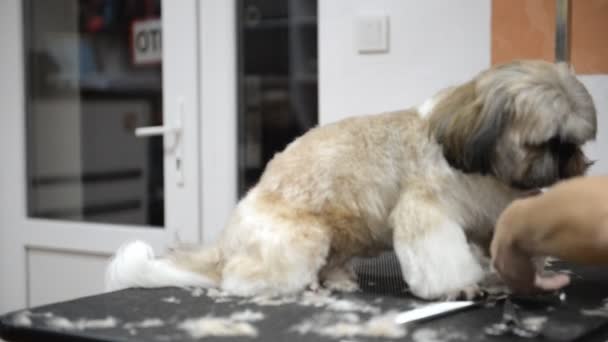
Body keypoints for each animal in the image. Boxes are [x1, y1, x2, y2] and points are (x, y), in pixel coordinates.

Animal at [107, 60, 596, 300]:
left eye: (575, 140)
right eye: (545, 141)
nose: (571, 159)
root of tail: (227, 240)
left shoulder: (487, 218)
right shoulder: (426, 211)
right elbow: (441, 256)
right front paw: (458, 286)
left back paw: (337, 280)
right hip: (302, 237)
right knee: (240, 280)